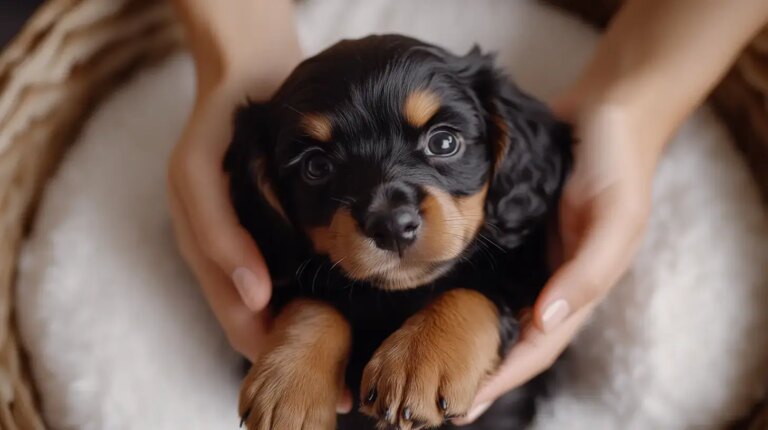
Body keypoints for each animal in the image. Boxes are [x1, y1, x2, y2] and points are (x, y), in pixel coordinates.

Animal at [225, 34, 572, 430]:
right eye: (316, 166)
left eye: (444, 142)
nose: (391, 225)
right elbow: (312, 304)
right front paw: (288, 386)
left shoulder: (523, 276)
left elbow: (471, 292)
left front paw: (419, 361)